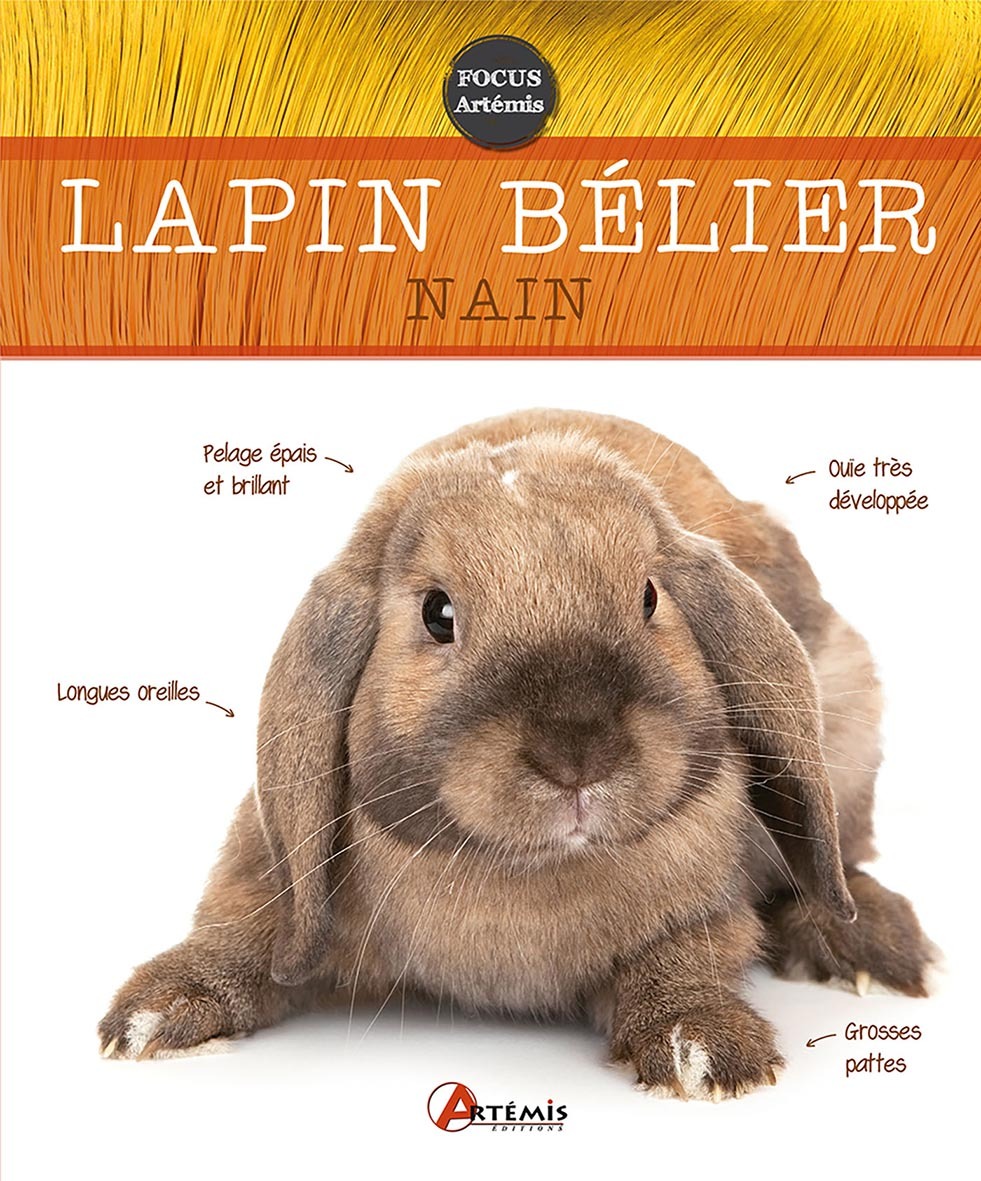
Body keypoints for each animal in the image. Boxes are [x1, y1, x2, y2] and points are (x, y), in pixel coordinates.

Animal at [98, 408, 933, 1098]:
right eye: (437, 614)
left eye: (649, 596)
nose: (577, 753)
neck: (519, 876)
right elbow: (244, 926)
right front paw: (154, 1012)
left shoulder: (700, 909)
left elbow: (684, 958)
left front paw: (702, 1044)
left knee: (835, 863)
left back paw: (871, 945)